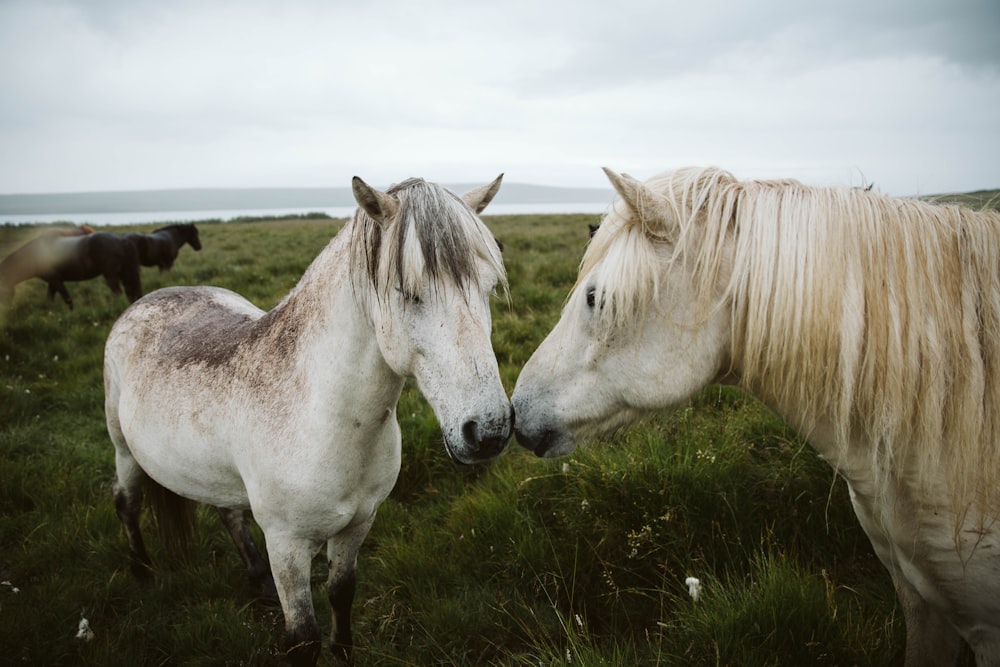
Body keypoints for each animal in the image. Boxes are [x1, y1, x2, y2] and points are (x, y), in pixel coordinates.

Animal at [0, 230, 143, 310]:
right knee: (130, 291)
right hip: (124, 273)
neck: (38, 255)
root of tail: (122, 239)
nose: (7, 309)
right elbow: (49, 300)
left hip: (111, 275)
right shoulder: (52, 282)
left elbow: (67, 299)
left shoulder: (56, 281)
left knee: (118, 293)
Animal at [108, 175, 512, 664]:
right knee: (127, 503)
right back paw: (143, 573)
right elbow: (303, 636)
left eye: (489, 289)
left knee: (228, 512)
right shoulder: (286, 544)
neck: (323, 419)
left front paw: (343, 651)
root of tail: (148, 298)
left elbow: (342, 593)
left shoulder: (358, 525)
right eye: (408, 292)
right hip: (123, 447)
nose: (489, 432)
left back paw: (256, 579)